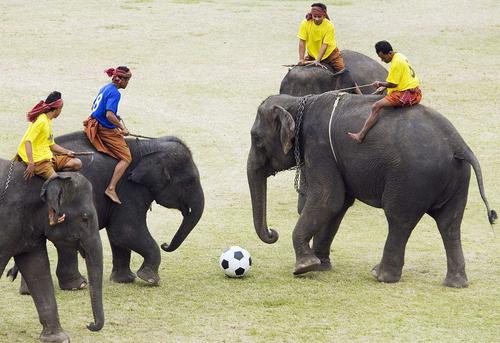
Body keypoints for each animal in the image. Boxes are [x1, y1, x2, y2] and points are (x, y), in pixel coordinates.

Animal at [247, 90, 496, 288]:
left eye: (256, 139)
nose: (273, 232)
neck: (299, 101)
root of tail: (458, 144)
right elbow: (339, 204)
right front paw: (321, 265)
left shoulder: (319, 148)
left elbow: (328, 199)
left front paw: (304, 267)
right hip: (457, 179)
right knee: (450, 224)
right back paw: (455, 283)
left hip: (411, 179)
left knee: (399, 220)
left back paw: (381, 276)